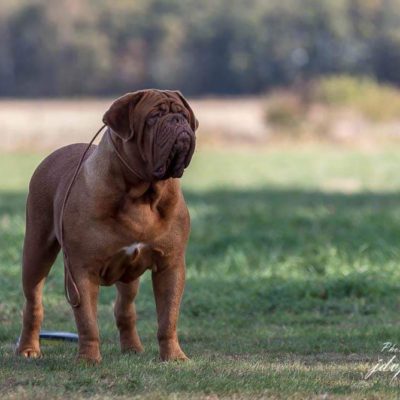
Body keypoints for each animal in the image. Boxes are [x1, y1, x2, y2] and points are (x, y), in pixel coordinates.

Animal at [17, 90, 198, 362]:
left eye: (184, 115)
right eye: (153, 117)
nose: (178, 121)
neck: (141, 194)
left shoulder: (171, 265)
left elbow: (168, 318)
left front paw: (174, 356)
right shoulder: (81, 270)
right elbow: (87, 322)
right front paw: (88, 359)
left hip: (128, 276)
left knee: (125, 309)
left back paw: (132, 348)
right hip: (36, 253)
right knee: (33, 304)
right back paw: (28, 348)